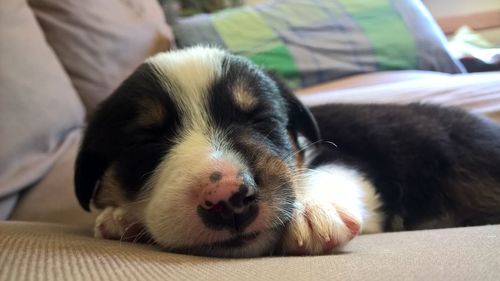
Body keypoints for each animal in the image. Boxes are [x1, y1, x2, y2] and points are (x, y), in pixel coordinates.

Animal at [74, 45, 500, 256]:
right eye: (145, 141)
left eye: (260, 119)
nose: (227, 199)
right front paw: (122, 218)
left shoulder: (350, 162)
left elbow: (329, 174)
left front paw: (311, 211)